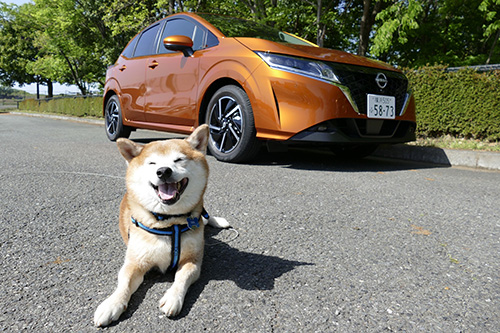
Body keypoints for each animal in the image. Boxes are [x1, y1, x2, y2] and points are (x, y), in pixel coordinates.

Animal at [93, 124, 229, 324]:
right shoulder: (135, 262)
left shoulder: (193, 260)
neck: (169, 222)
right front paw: (111, 304)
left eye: (179, 159)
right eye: (152, 163)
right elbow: (123, 283)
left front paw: (173, 298)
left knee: (205, 215)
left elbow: (182, 277)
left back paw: (218, 221)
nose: (164, 171)